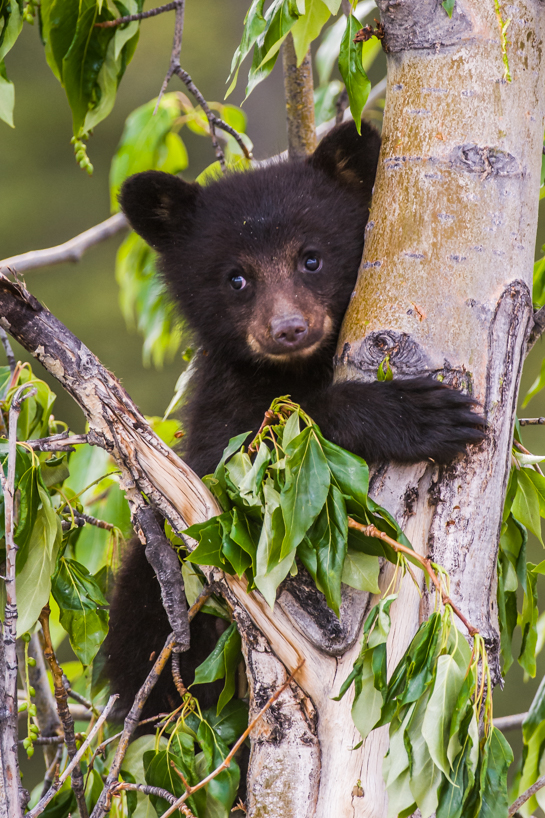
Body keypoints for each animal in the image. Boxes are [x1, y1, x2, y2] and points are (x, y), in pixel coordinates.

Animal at [104, 119, 485, 721]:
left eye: (312, 258)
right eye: (236, 278)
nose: (288, 328)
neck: (300, 366)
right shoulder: (221, 409)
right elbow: (233, 455)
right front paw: (419, 413)